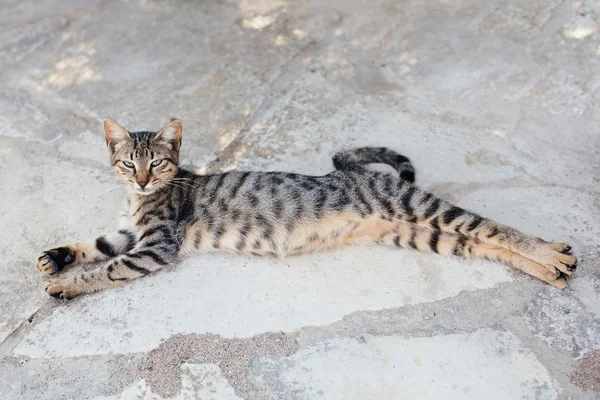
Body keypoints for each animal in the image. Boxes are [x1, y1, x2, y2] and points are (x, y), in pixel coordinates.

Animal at [36, 117, 576, 298]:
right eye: (128, 163)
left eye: (158, 164)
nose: (143, 179)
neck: (138, 199)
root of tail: (351, 174)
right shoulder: (129, 235)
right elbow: (97, 244)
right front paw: (56, 258)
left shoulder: (157, 244)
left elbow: (106, 269)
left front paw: (65, 286)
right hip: (419, 233)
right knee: (484, 244)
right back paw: (550, 269)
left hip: (419, 206)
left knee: (496, 229)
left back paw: (550, 253)